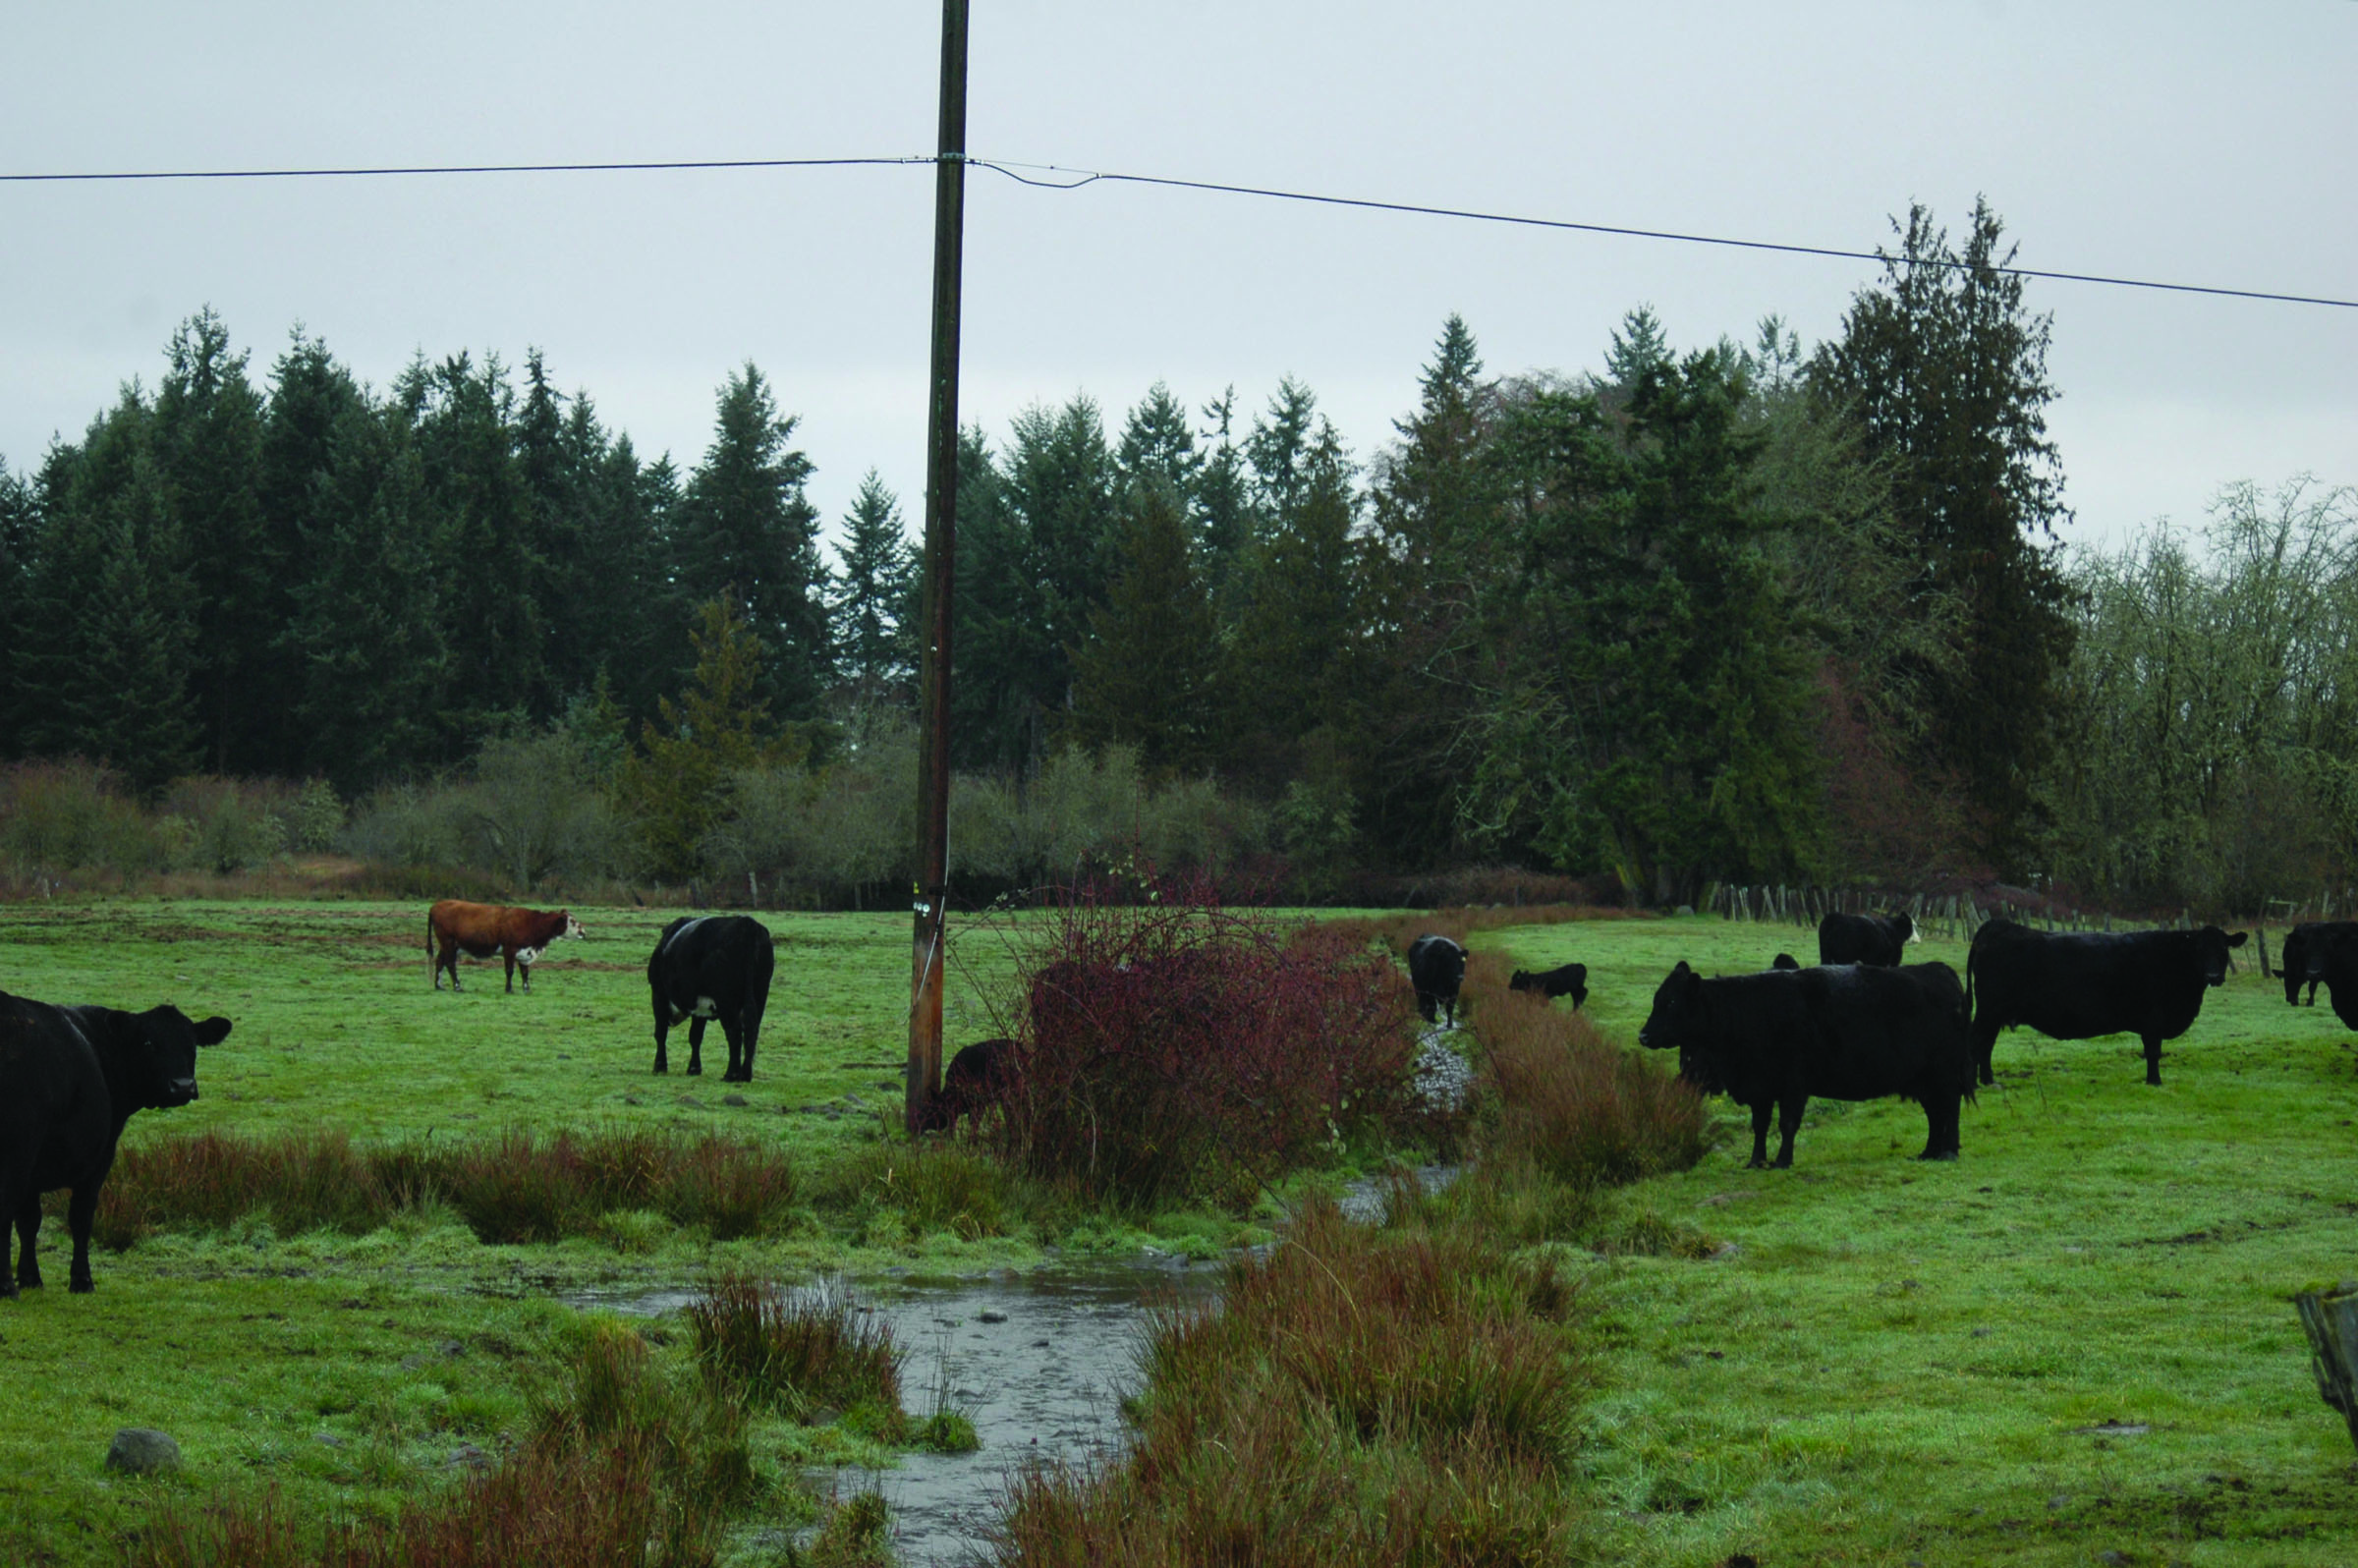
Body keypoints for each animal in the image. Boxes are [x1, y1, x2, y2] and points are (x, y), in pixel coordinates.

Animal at [2, 990, 230, 1292]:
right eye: (148, 1042)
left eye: (192, 1043)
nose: (182, 1086)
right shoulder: (99, 1158)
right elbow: (80, 1217)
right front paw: (82, 1280)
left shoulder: (34, 1172)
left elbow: (29, 1221)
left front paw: (30, 1278)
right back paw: (6, 1287)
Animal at [428, 891, 585, 990]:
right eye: (572, 921)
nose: (583, 932)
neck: (531, 923)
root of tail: (436, 906)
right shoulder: (509, 948)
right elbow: (510, 970)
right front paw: (509, 989)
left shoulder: (525, 951)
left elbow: (525, 972)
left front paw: (526, 989)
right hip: (448, 941)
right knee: (450, 963)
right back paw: (457, 986)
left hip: (448, 945)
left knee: (440, 961)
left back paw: (439, 985)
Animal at [650, 910, 778, 1085]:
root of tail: (747, 924)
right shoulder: (700, 1007)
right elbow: (695, 1036)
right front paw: (694, 1068)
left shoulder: (658, 993)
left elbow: (661, 1032)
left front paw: (660, 1066)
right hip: (760, 993)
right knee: (752, 1031)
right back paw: (745, 1074)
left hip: (726, 1001)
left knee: (734, 1032)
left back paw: (731, 1074)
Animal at [1641, 952, 1971, 1159]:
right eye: (1657, 999)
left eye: (1671, 1002)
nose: (1643, 1036)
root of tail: (1938, 970)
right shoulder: (1760, 1087)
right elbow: (1760, 1125)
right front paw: (1756, 1161)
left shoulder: (1794, 1085)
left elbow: (1787, 1124)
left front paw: (1782, 1161)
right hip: (1922, 1080)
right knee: (1935, 1113)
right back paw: (1928, 1152)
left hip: (1944, 1074)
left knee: (1950, 1108)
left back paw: (1948, 1152)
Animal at [1961, 920, 2254, 1089]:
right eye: (2199, 950)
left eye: (2224, 950)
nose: (2213, 976)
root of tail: (1999, 925)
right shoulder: (2154, 1020)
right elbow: (2153, 1052)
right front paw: (2154, 1082)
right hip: (1989, 1010)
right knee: (1976, 1043)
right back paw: (1975, 1085)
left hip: (1994, 1013)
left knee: (1986, 1044)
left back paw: (1989, 1081)